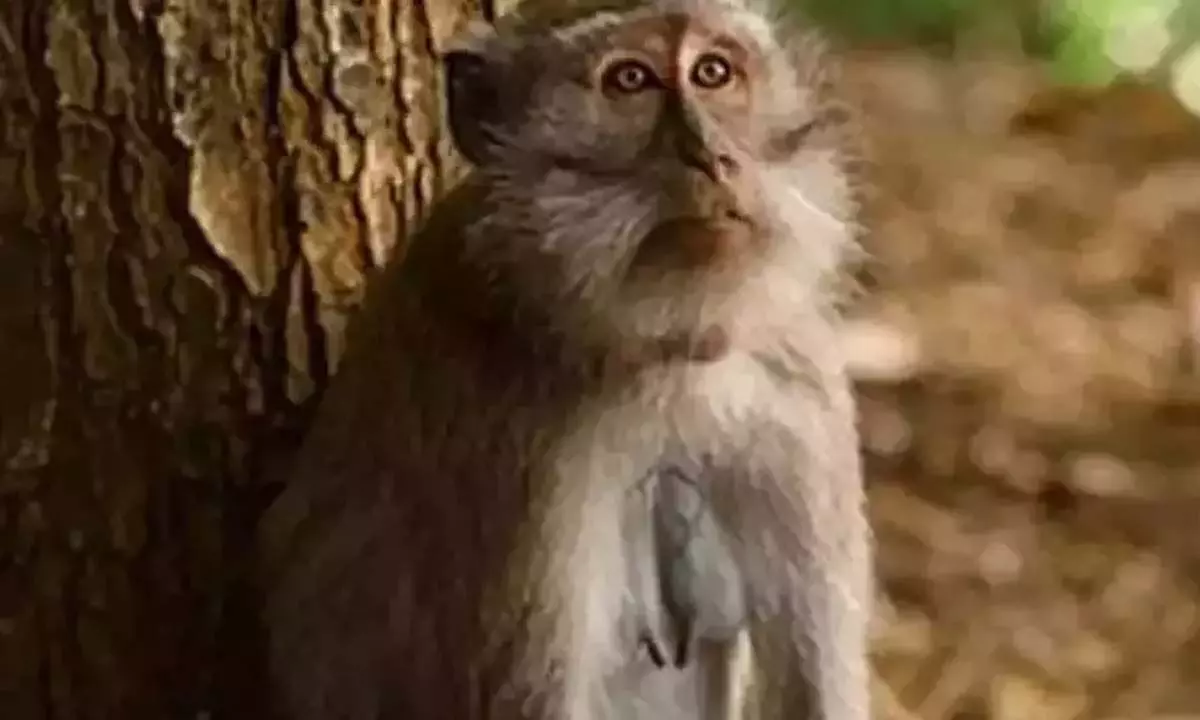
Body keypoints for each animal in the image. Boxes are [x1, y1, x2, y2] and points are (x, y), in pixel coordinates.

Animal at [257, 0, 873, 718]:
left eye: (713, 72)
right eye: (630, 80)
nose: (712, 155)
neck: (666, 349)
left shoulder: (798, 391)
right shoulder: (524, 461)